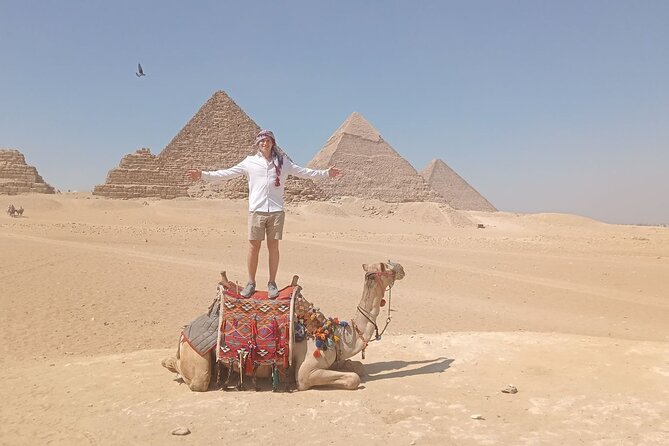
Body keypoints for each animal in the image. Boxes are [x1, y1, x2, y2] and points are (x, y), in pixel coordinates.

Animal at [162, 261, 405, 391]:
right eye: (387, 267)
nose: (402, 268)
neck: (331, 333)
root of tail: (184, 333)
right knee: (197, 380)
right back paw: (168, 363)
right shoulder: (306, 372)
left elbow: (358, 368)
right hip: (197, 358)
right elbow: (353, 379)